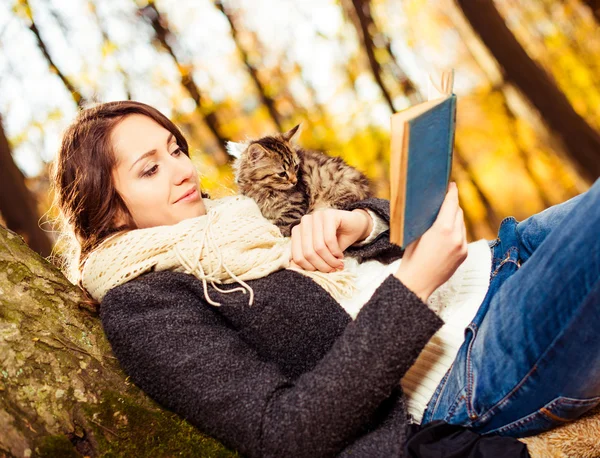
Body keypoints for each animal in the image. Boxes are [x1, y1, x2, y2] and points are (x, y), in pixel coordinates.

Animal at [229, 126, 372, 236]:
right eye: (282, 174)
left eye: (296, 167)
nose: (294, 181)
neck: (264, 189)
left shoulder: (297, 202)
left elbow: (285, 219)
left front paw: (278, 230)